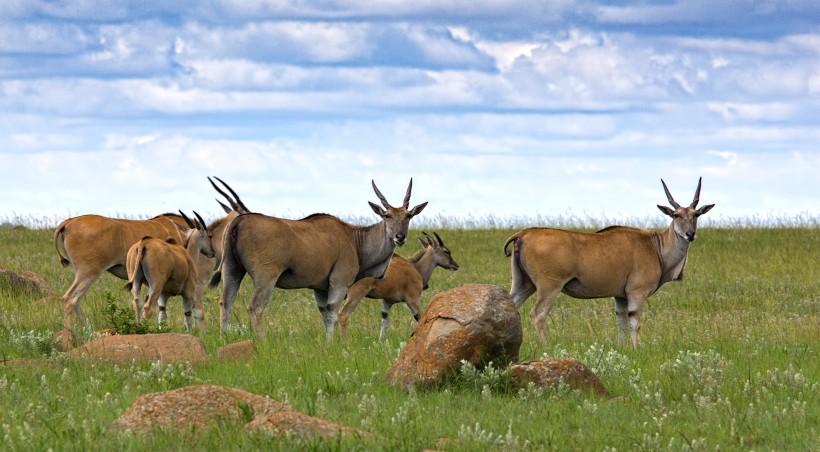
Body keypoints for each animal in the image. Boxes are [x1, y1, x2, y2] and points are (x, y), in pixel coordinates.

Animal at [210, 179, 430, 340]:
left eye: (408, 216)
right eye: (387, 216)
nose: (400, 237)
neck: (354, 239)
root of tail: (239, 220)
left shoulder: (320, 288)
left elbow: (325, 313)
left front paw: (327, 345)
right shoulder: (339, 282)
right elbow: (333, 312)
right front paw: (332, 345)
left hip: (232, 271)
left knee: (225, 302)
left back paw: (223, 338)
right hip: (266, 277)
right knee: (255, 307)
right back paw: (262, 342)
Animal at [334, 231, 462, 340]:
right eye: (446, 251)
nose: (456, 266)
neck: (416, 268)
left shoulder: (387, 301)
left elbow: (384, 322)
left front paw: (381, 341)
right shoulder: (413, 299)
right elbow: (420, 319)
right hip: (356, 293)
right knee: (342, 314)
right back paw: (344, 341)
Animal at [502, 178, 716, 348]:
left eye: (696, 215)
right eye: (676, 215)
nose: (690, 234)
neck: (656, 247)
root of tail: (524, 234)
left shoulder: (620, 296)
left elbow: (621, 321)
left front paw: (622, 348)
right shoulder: (637, 293)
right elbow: (634, 322)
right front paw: (636, 348)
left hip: (523, 284)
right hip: (549, 287)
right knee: (538, 315)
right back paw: (546, 345)